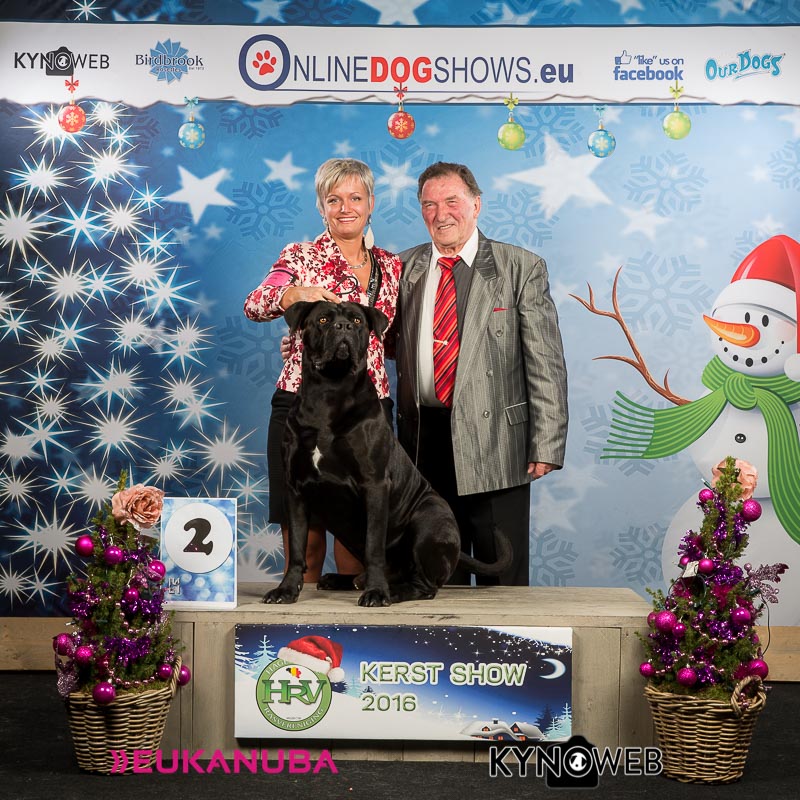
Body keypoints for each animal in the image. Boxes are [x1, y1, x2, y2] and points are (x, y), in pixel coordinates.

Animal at [263, 299, 512, 607]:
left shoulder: (375, 485)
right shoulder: (296, 488)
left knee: (424, 585)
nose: (343, 327)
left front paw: (377, 593)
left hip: (428, 521)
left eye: (357, 321)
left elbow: (374, 547)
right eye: (322, 320)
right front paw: (286, 590)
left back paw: (389, 591)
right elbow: (297, 546)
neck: (329, 389)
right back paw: (344, 580)